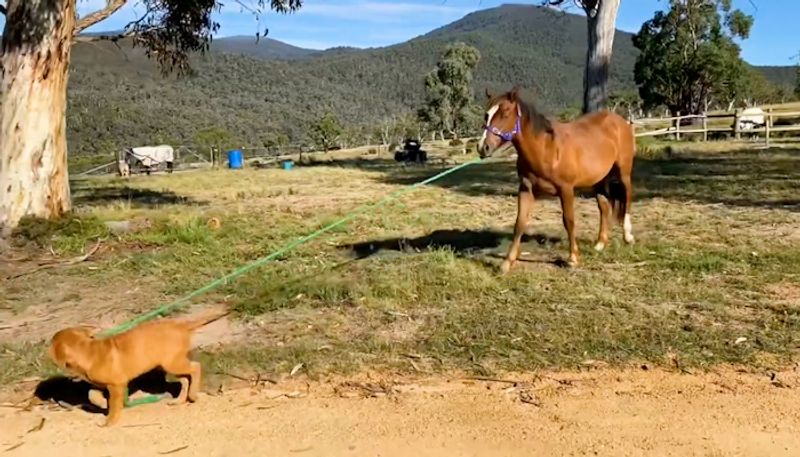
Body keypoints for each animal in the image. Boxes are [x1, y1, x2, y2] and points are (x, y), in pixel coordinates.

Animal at [48, 308, 228, 426]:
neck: (88, 351)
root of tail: (181, 325)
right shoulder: (100, 384)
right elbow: (92, 394)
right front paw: (102, 404)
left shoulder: (117, 385)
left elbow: (114, 406)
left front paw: (109, 421)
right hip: (168, 365)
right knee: (184, 379)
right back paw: (178, 400)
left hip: (173, 363)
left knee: (195, 367)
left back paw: (193, 395)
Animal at [476, 86, 636, 272]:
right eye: (486, 115)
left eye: (506, 113)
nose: (483, 147)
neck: (547, 149)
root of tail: (619, 121)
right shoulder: (526, 189)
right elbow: (519, 223)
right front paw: (507, 262)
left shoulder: (566, 189)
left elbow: (569, 221)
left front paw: (573, 258)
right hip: (599, 180)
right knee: (604, 207)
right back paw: (600, 244)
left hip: (623, 173)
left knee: (627, 197)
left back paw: (628, 236)